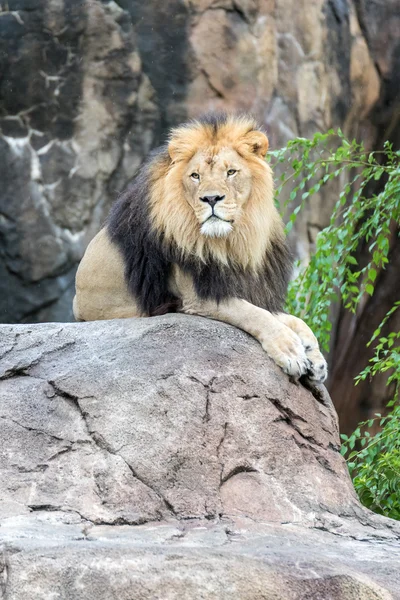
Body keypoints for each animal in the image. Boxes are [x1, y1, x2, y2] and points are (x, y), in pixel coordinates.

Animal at [74, 115, 328, 382]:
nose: (211, 198)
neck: (232, 242)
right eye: (195, 176)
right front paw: (291, 351)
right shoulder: (198, 296)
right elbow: (255, 314)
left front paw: (314, 356)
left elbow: (288, 318)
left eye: (230, 172)